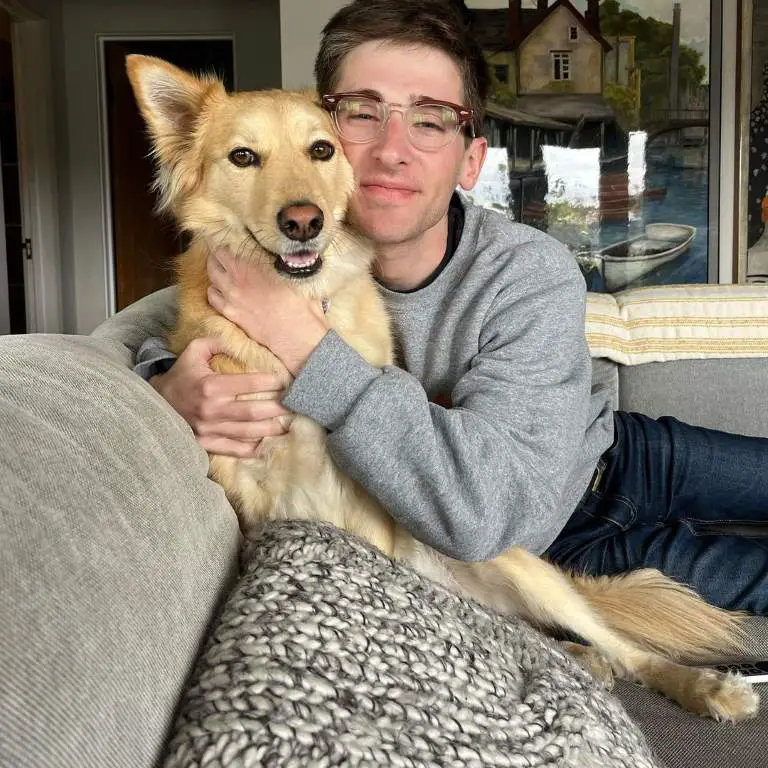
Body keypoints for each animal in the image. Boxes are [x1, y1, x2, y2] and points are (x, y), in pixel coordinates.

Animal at [129, 57, 760, 724]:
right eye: (243, 157)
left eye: (322, 149)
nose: (304, 221)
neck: (306, 310)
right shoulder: (255, 500)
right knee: (532, 636)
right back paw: (584, 662)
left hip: (517, 564)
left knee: (626, 648)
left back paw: (702, 685)